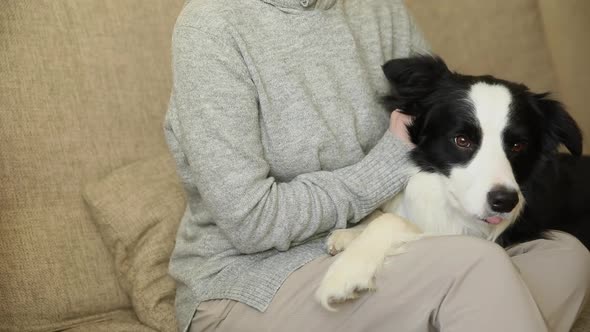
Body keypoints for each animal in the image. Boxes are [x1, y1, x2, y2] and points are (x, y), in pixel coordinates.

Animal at [314, 55, 588, 310]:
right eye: (462, 140)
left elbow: (392, 220)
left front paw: (345, 273)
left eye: (518, 145)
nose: (505, 202)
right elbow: (383, 214)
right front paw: (349, 235)